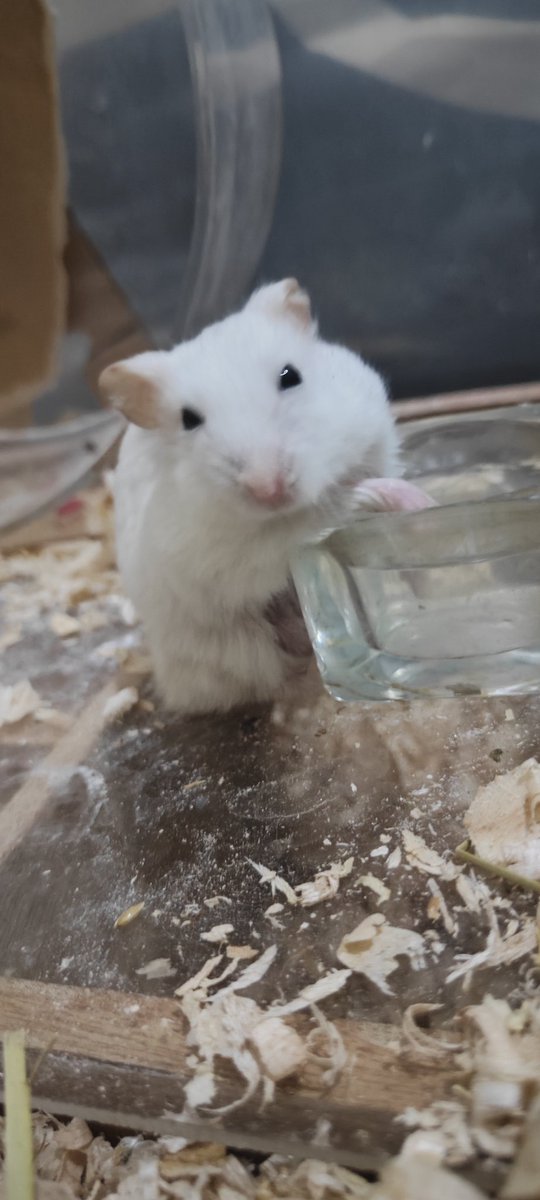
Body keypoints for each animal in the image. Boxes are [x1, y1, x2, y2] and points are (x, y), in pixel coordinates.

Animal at [99, 279, 402, 715]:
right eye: (189, 419)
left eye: (290, 376)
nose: (267, 488)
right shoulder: (220, 559)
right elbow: (299, 529)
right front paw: (373, 497)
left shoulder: (375, 438)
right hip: (236, 650)